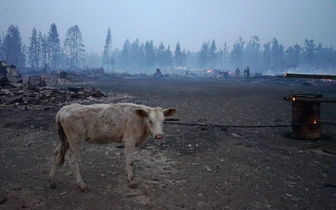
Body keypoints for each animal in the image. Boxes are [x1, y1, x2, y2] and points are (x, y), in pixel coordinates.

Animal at [49, 102, 177, 191]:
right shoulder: (130, 140)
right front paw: (132, 182)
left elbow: (127, 160)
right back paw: (82, 186)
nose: (159, 135)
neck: (140, 121)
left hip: (65, 140)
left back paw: (52, 182)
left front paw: (127, 175)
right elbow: (131, 161)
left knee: (56, 153)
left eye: (163, 121)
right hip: (75, 140)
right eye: (150, 121)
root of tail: (65, 108)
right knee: (72, 160)